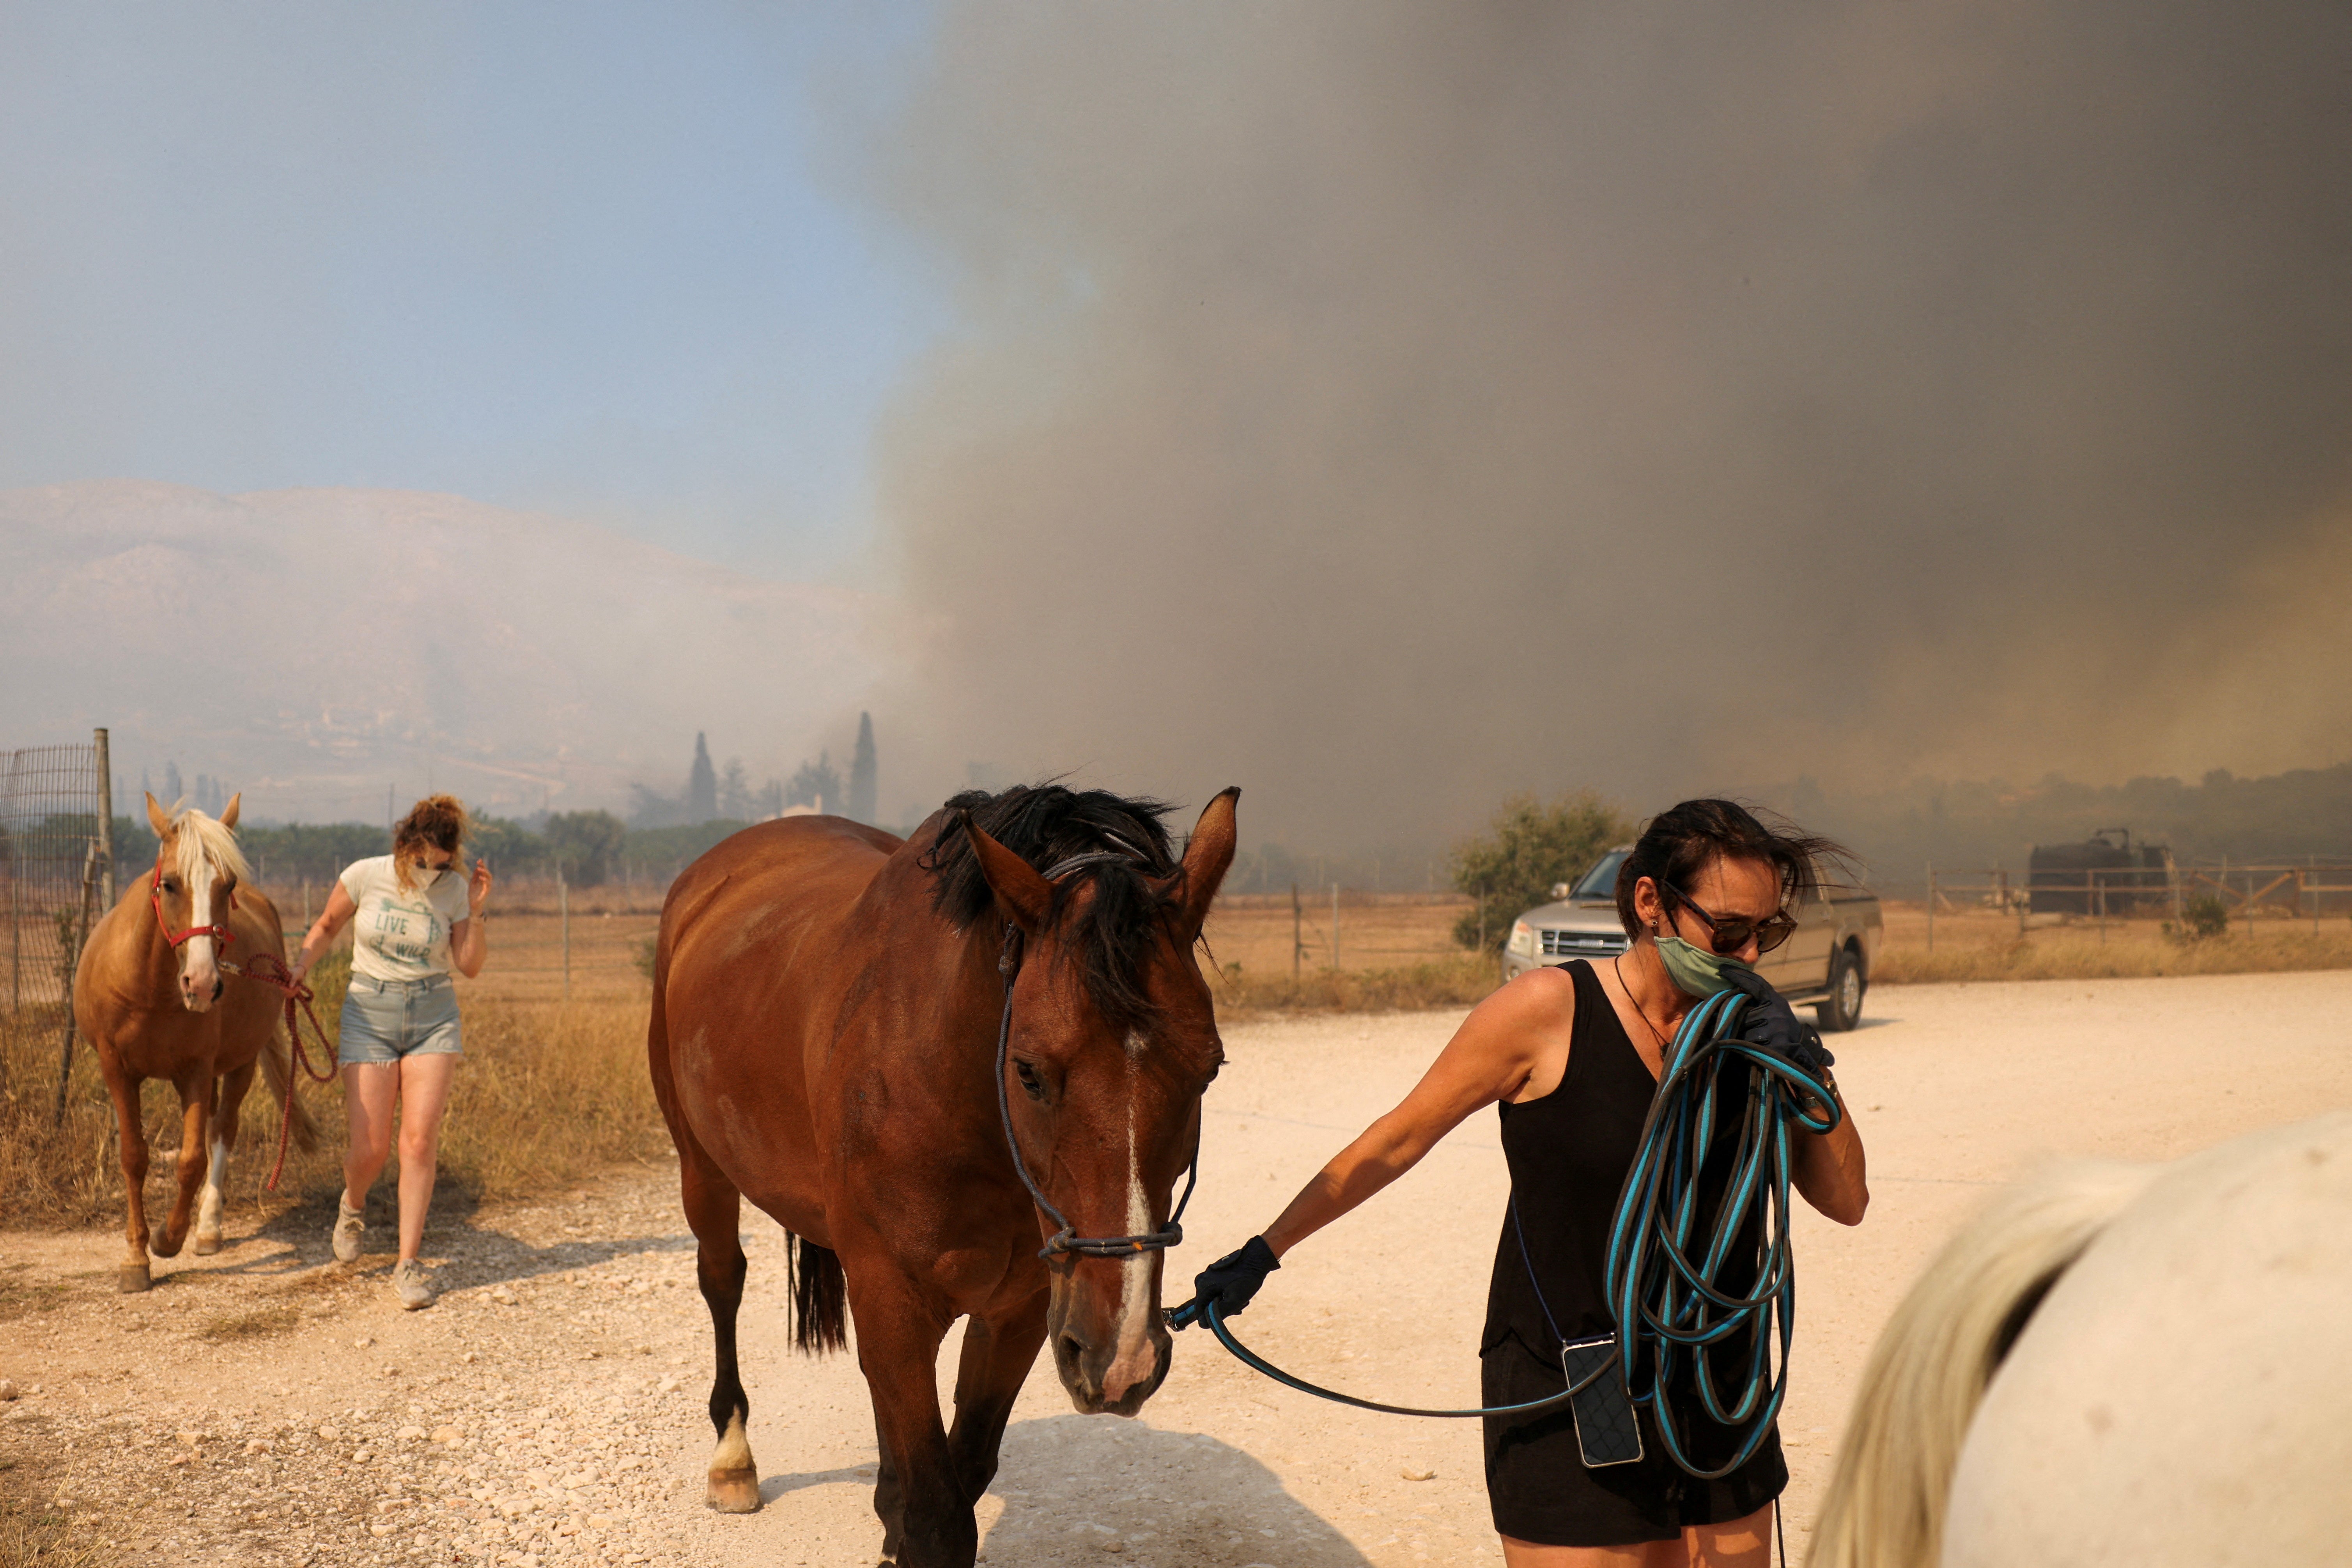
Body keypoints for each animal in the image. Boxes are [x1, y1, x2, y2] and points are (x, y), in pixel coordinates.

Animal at [72, 790, 317, 1297]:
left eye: (227, 886)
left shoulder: (197, 1071)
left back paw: (207, 1228)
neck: (151, 990)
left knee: (222, 1131)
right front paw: (135, 1257)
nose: (203, 984)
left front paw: (168, 1238)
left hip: (241, 1064)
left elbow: (191, 1160)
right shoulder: (117, 1070)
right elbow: (134, 1157)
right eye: (168, 884)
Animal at [644, 785, 1232, 1568]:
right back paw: (733, 1461)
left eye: (1209, 1068)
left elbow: (965, 1468)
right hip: (702, 1168)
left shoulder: (1019, 1313)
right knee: (722, 1280)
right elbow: (937, 1518)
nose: (1121, 1355)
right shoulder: (895, 1300)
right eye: (1028, 1071)